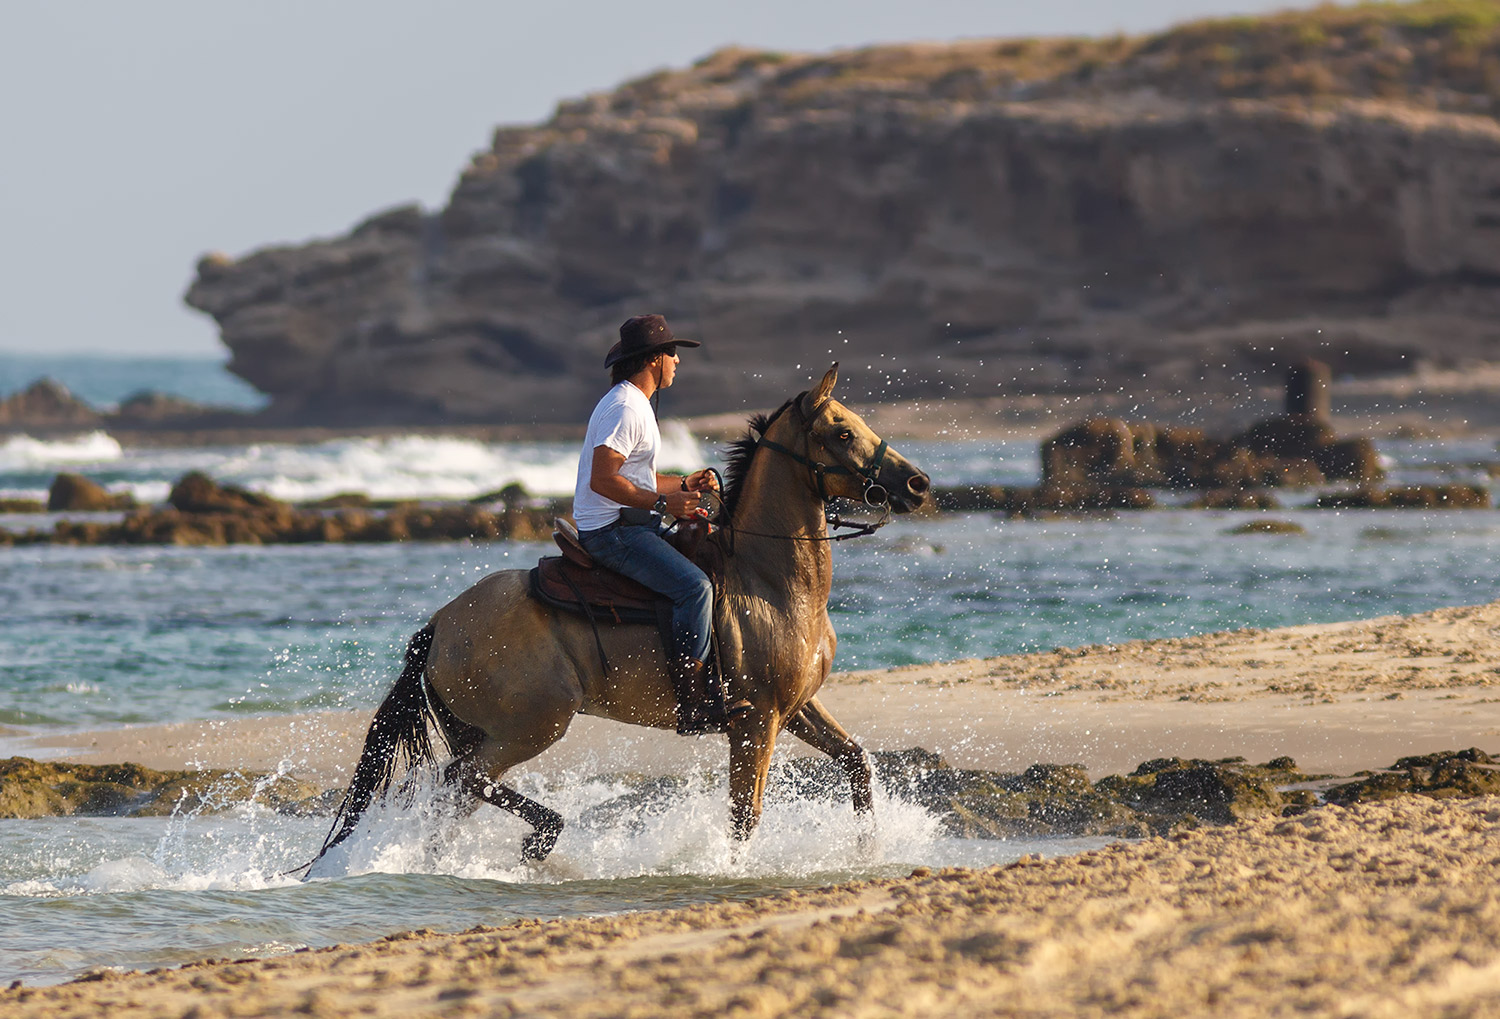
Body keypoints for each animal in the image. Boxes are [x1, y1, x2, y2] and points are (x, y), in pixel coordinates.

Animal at [312, 363, 930, 864]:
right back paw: (536, 838)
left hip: (488, 732)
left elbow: (857, 762)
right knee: (462, 783)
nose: (918, 483)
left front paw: (868, 851)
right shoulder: (756, 720)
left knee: (453, 799)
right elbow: (744, 819)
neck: (771, 580)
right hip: (534, 724)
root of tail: (442, 624)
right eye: (842, 432)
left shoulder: (795, 708)